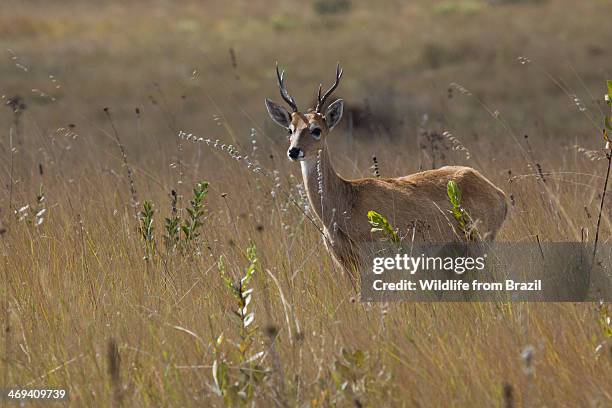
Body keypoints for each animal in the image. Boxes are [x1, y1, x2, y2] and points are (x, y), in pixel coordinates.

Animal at [264, 63, 506, 274]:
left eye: (316, 129)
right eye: (290, 129)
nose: (294, 151)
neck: (344, 204)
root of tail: (499, 194)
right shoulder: (344, 262)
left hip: (480, 241)